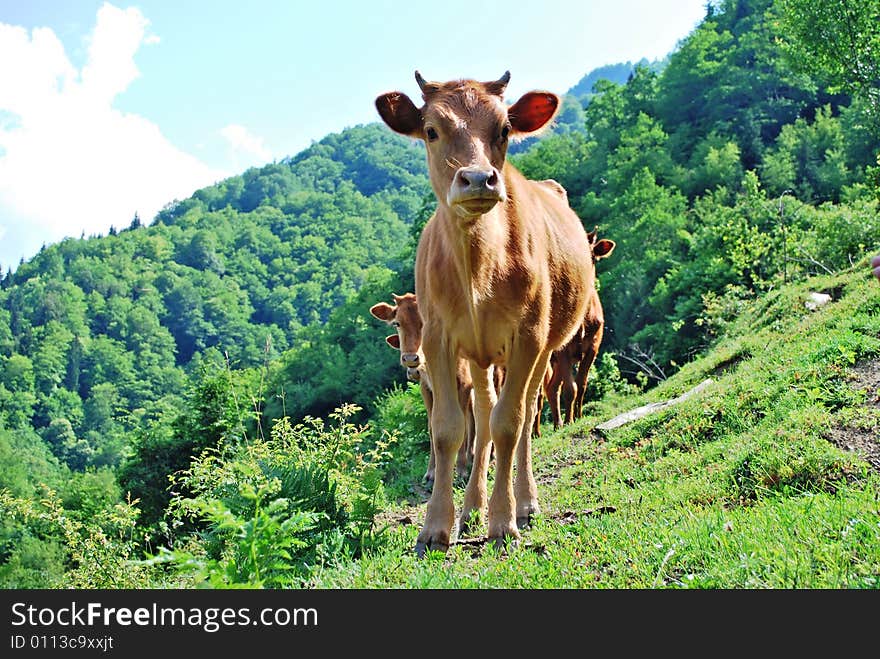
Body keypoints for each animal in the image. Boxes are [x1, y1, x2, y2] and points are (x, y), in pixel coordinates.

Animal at [368, 294, 474, 484]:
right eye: (397, 323)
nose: (411, 358)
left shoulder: (464, 383)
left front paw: (461, 471)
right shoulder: (427, 388)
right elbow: (433, 427)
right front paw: (432, 471)